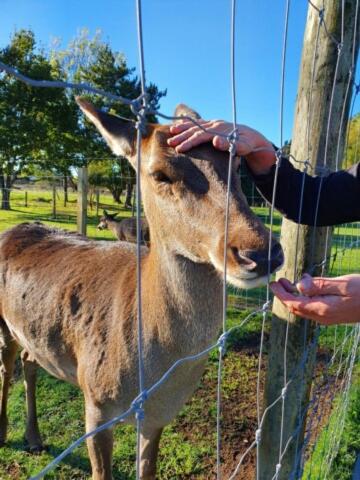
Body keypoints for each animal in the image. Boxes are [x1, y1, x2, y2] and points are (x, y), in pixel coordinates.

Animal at [0, 98, 284, 480]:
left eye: (237, 163)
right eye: (160, 173)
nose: (260, 252)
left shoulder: (157, 416)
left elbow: (147, 469)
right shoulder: (96, 403)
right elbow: (101, 471)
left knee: (30, 360)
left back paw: (33, 437)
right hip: (4, 326)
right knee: (7, 367)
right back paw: (6, 433)